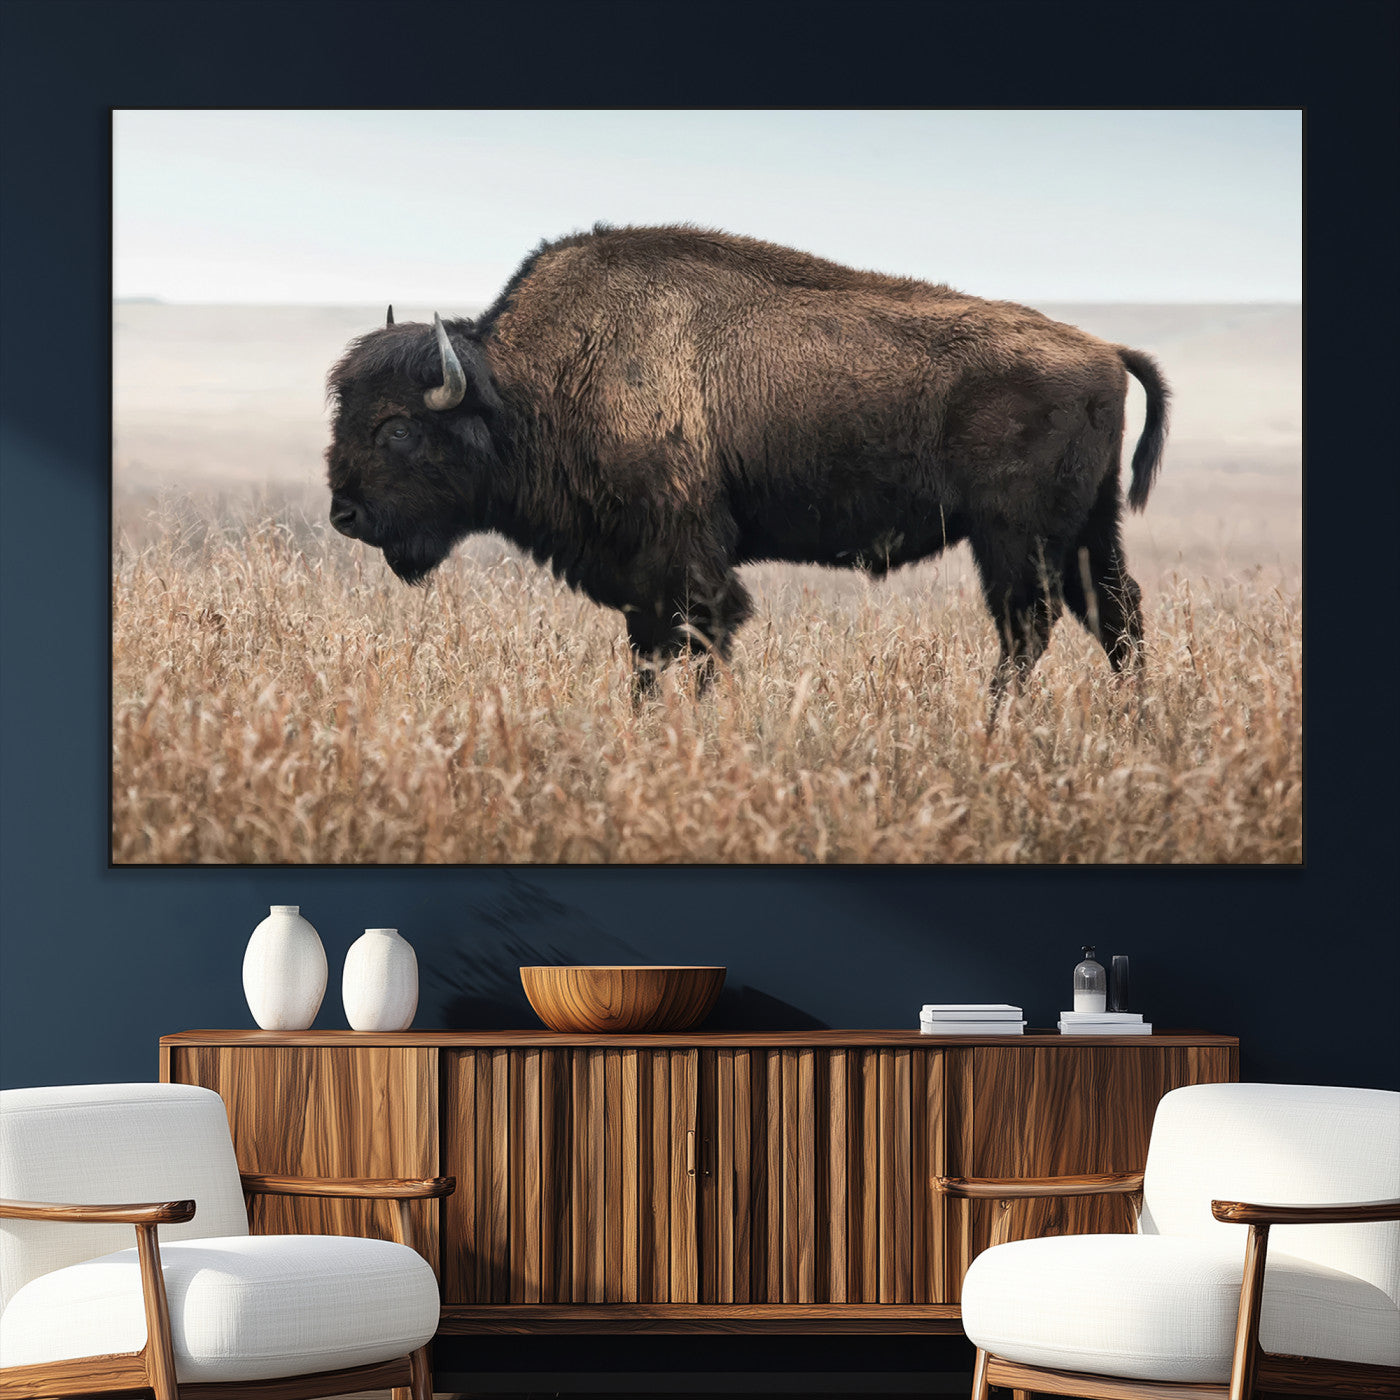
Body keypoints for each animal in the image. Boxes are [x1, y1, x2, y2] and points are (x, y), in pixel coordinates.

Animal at [326, 224, 1167, 700]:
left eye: (398, 429)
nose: (344, 514)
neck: (529, 384)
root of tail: (1104, 350)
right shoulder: (642, 578)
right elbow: (650, 656)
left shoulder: (684, 562)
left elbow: (696, 642)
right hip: (1088, 530)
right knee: (1115, 617)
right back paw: (1133, 726)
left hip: (1015, 538)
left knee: (1030, 628)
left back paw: (996, 726)